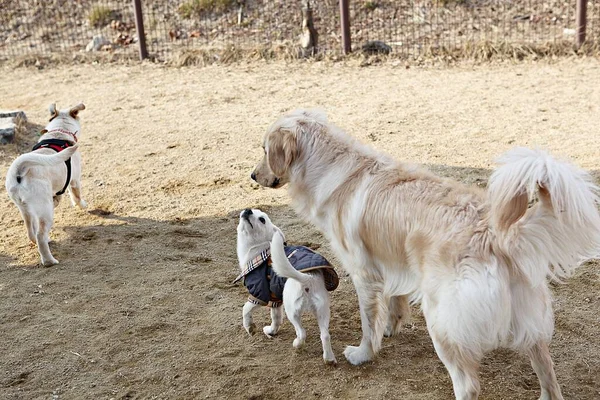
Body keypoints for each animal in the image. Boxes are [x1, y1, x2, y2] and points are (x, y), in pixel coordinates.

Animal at [5, 102, 86, 266]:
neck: (59, 132)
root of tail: (19, 169)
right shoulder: (75, 180)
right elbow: (77, 195)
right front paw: (82, 205)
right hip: (45, 210)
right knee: (40, 235)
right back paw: (49, 260)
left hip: (24, 208)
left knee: (31, 231)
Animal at [234, 209, 338, 366]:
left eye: (262, 219)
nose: (247, 210)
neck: (258, 250)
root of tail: (308, 277)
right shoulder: (275, 300)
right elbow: (276, 318)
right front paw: (271, 331)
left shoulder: (259, 294)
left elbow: (245, 309)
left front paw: (250, 328)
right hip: (322, 310)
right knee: (325, 335)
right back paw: (329, 359)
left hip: (292, 310)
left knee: (302, 333)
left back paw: (297, 344)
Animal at [250, 109, 600, 400]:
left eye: (265, 150)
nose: (253, 176)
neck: (332, 169)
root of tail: (496, 235)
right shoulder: (394, 263)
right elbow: (395, 302)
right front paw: (391, 327)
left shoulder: (364, 274)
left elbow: (368, 322)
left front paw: (363, 353)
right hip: (529, 322)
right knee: (548, 373)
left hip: (441, 320)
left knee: (468, 385)